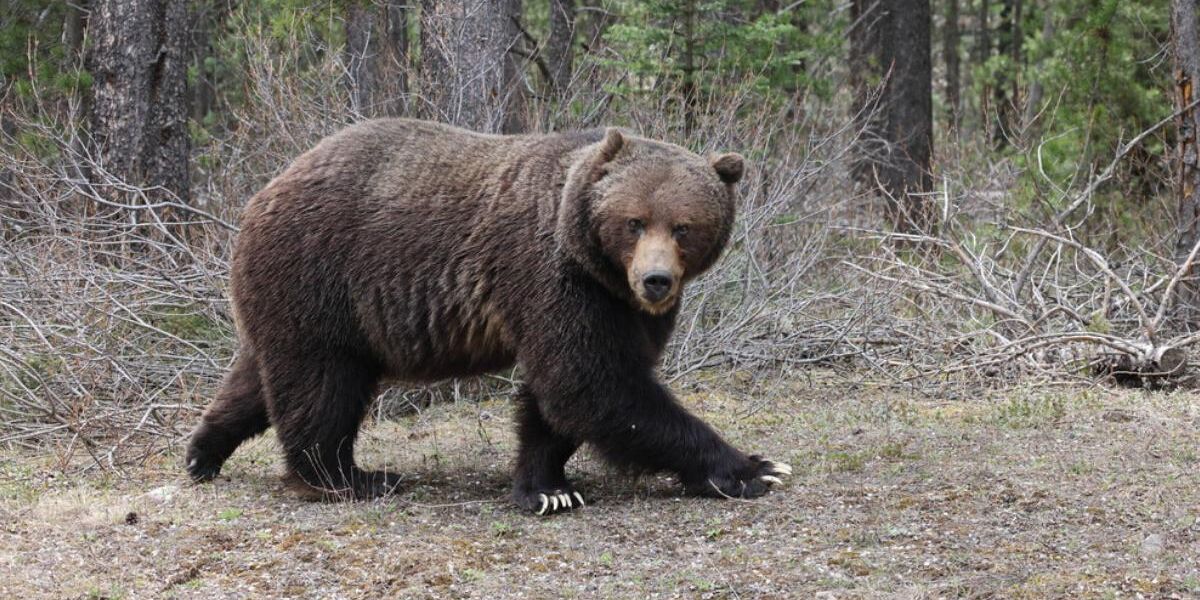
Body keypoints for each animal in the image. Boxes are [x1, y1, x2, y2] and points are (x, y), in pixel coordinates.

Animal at [185, 119, 791, 514]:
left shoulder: (617, 304)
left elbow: (565, 395)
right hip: (323, 275)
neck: (596, 262)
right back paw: (353, 477)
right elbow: (593, 383)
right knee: (323, 384)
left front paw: (548, 487)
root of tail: (264, 190)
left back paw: (202, 453)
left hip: (288, 295)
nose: (656, 280)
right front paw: (753, 467)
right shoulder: (551, 275)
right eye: (635, 221)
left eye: (684, 227)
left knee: (259, 377)